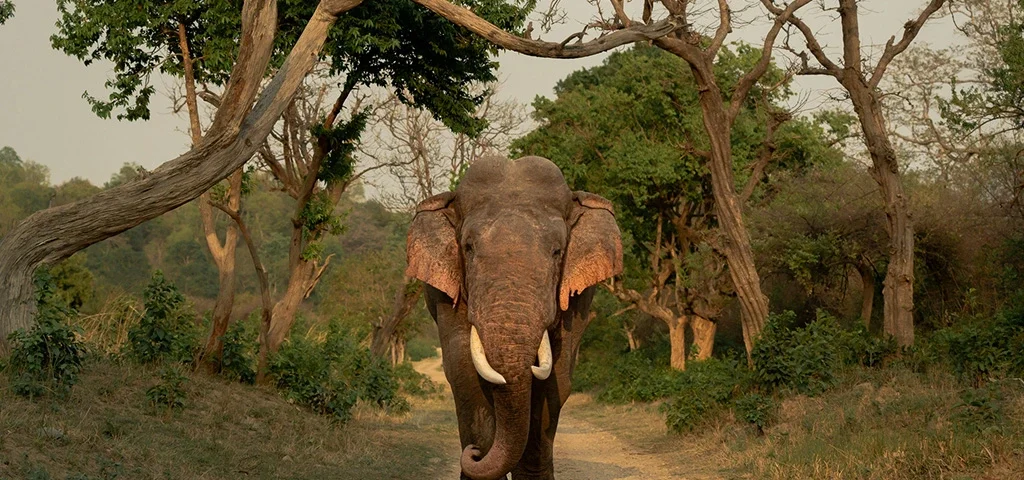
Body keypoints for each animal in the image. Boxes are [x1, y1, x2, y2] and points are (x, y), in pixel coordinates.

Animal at [405, 155, 623, 480]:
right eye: (468, 247)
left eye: (558, 251)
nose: (473, 454)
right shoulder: (443, 292)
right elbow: (463, 369)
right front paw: (479, 453)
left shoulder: (578, 296)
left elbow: (556, 378)